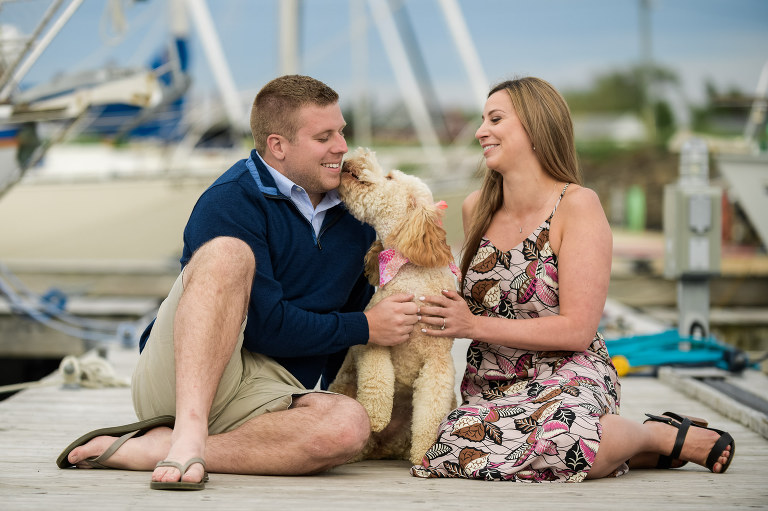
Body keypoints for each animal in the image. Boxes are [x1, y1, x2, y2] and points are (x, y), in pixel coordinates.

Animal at [328, 147, 460, 464]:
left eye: (388, 177)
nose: (353, 157)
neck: (411, 274)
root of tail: (382, 449)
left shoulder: (438, 364)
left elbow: (430, 413)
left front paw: (424, 455)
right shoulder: (373, 340)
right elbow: (378, 379)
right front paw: (376, 416)